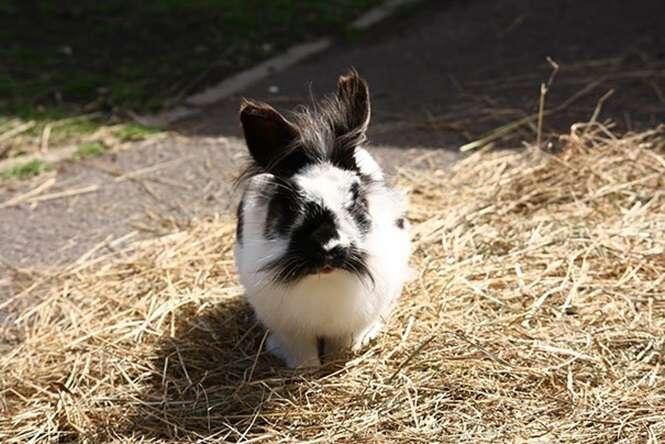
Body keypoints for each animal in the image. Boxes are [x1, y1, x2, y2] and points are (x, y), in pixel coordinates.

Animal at [233, 70, 410, 368]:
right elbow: (302, 353)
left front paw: (339, 361)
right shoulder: (292, 332)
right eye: (291, 205)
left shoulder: (350, 325)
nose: (328, 247)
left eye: (356, 201)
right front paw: (306, 370)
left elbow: (343, 345)